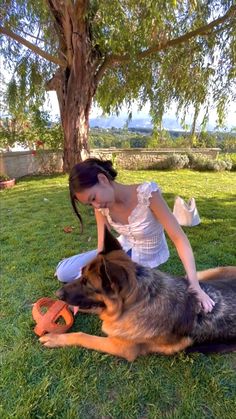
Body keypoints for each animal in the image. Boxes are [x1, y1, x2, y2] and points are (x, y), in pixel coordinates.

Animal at [40, 228, 236, 362]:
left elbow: (82, 336)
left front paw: (55, 338)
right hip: (197, 278)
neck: (136, 303)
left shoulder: (119, 347)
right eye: (81, 274)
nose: (58, 293)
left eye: (87, 283)